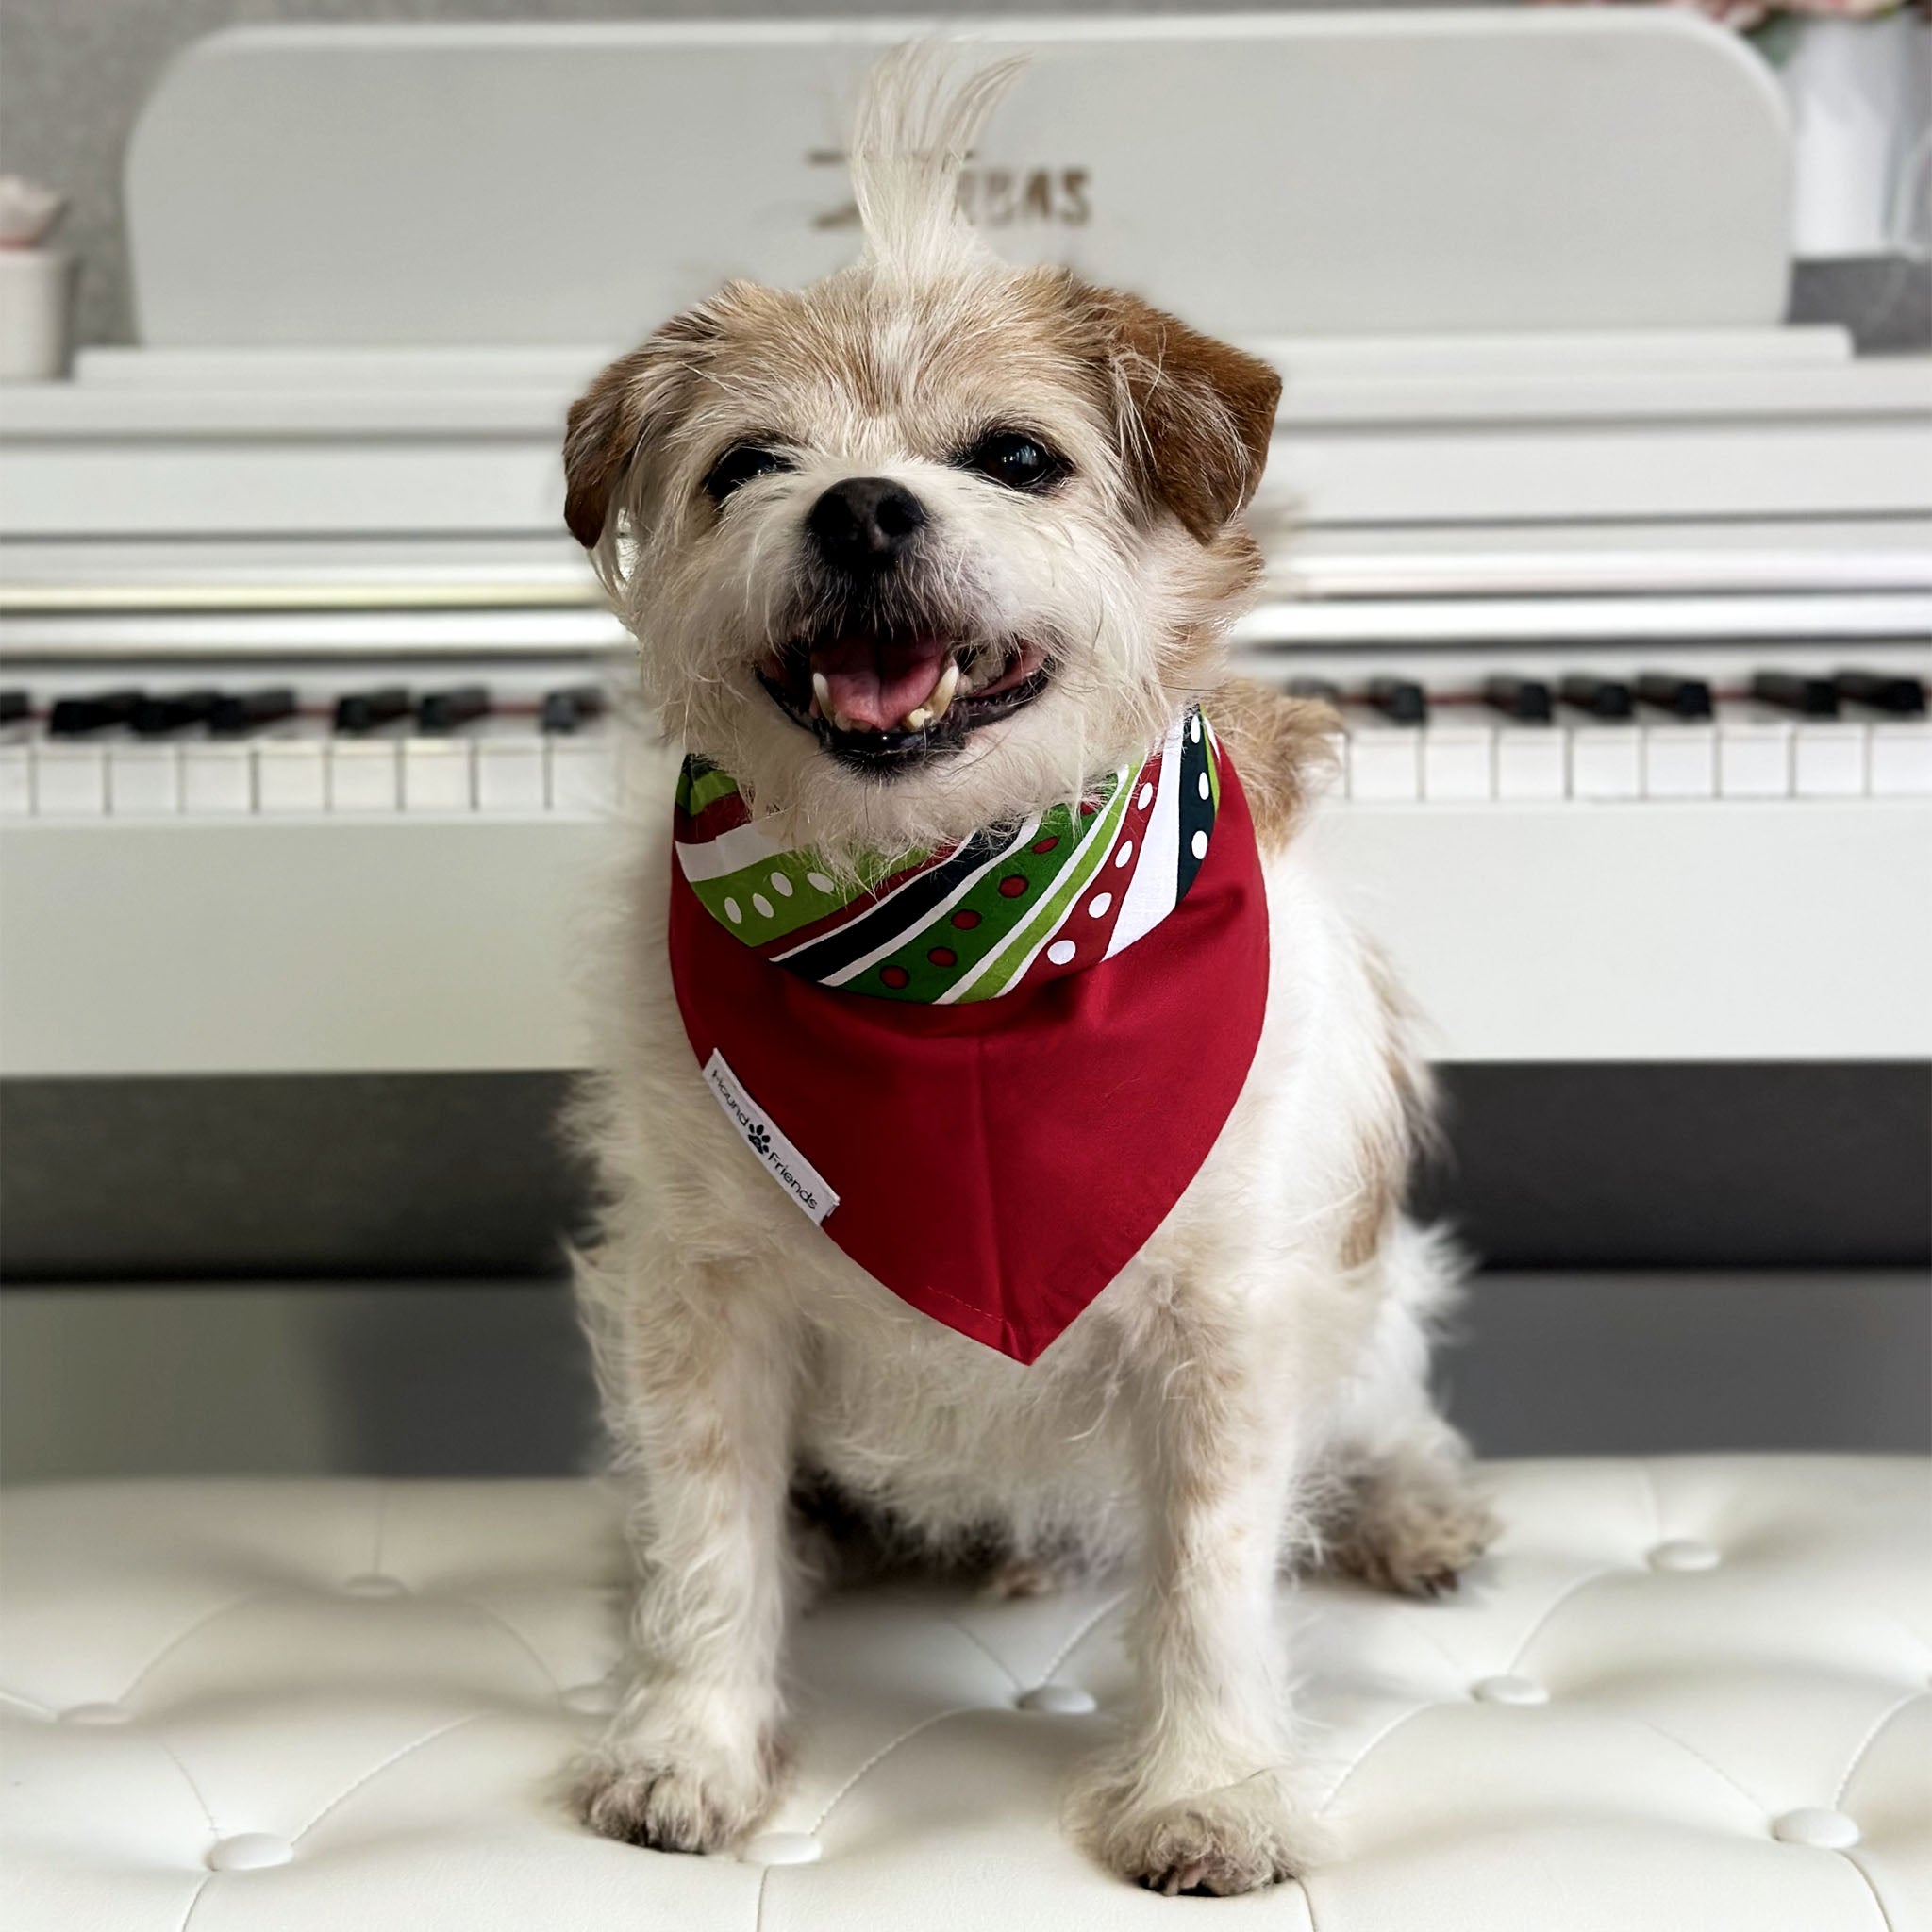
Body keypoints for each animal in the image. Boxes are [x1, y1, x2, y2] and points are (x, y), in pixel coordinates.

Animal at [559, 48, 1491, 1901]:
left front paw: (1209, 1790)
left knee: (1387, 1406)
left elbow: (1211, 1572)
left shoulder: (1228, 1318)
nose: (859, 504)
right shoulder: (697, 1296)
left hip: (1363, 1297)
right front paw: (688, 1744)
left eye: (1015, 456)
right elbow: (705, 1535)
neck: (946, 942)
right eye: (748, 463)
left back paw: (1416, 1509)